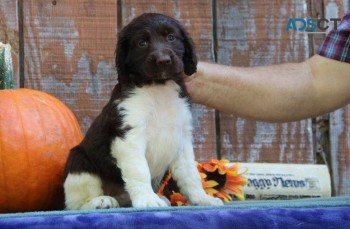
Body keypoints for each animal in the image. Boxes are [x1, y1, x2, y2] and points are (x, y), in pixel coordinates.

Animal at [63, 12, 221, 209]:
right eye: (142, 43)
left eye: (171, 37)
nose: (163, 60)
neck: (158, 88)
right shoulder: (129, 136)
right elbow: (140, 170)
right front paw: (147, 199)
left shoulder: (182, 137)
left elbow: (190, 174)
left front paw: (202, 198)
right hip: (79, 162)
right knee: (75, 203)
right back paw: (101, 201)